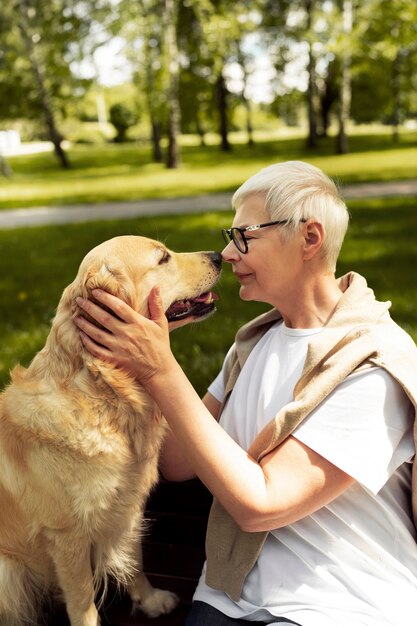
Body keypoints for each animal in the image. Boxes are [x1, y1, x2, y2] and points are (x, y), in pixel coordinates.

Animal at [0, 235, 221, 624]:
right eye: (163, 258)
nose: (219, 256)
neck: (103, 391)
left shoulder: (126, 506)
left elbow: (134, 561)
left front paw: (149, 600)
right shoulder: (66, 537)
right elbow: (83, 601)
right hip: (7, 572)